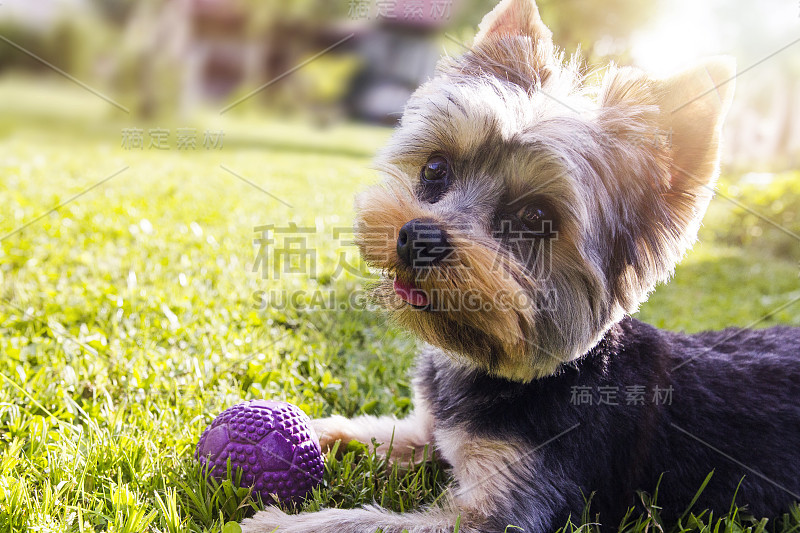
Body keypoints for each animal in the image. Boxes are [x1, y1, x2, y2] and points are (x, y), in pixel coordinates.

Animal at [241, 0, 796, 528]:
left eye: (535, 217)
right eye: (435, 168)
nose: (419, 236)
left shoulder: (518, 502)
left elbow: (368, 522)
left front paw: (275, 524)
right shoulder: (432, 430)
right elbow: (382, 431)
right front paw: (310, 428)